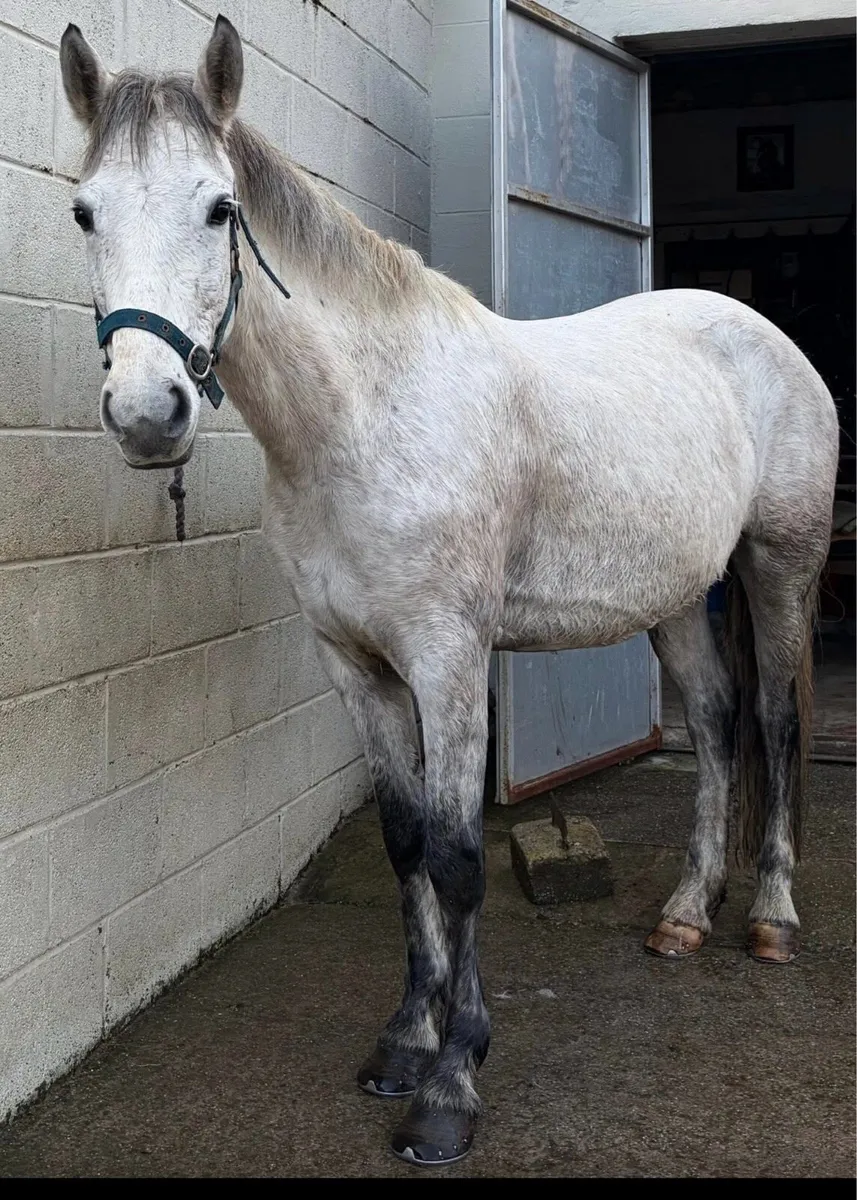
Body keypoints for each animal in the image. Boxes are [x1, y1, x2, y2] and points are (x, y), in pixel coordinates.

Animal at [59, 15, 838, 1166]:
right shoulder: (354, 664)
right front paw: (403, 1042)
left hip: (778, 565)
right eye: (84, 211)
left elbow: (458, 855)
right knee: (710, 721)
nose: (148, 415)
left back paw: (770, 919)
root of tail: (760, 334)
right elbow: (401, 844)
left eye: (218, 208)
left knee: (776, 728)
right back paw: (684, 915)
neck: (363, 418)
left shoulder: (449, 659)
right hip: (670, 599)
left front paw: (452, 1084)